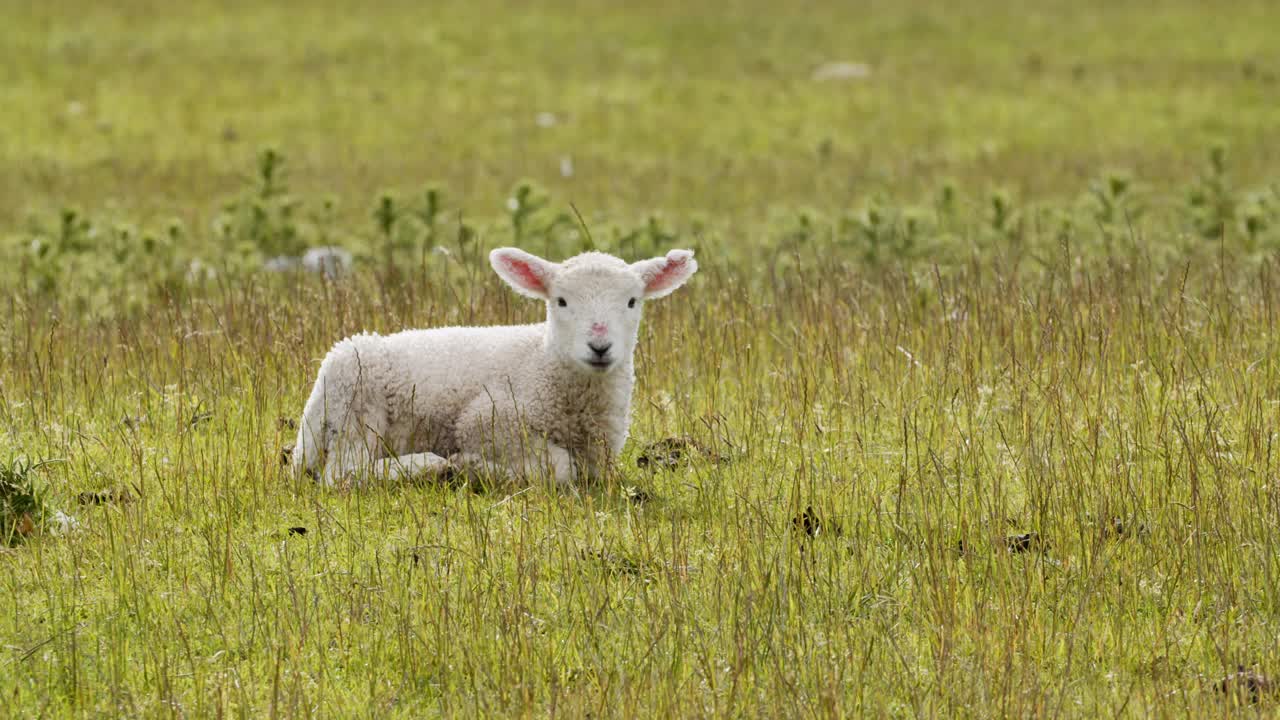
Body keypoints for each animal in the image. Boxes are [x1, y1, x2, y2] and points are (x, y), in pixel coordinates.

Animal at [291, 243, 701, 484]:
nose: (599, 346)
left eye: (632, 301)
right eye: (561, 301)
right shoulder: (487, 419)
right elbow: (560, 468)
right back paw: (429, 465)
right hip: (358, 410)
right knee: (344, 473)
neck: (543, 363)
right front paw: (475, 466)